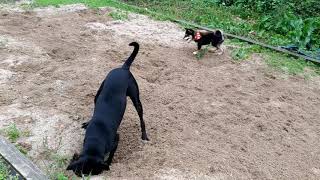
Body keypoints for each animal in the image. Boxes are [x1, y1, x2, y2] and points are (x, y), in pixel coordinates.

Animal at [67, 41, 149, 176]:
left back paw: (144, 136)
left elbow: (111, 155)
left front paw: (109, 164)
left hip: (136, 99)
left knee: (141, 118)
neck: (96, 139)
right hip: (98, 93)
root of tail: (123, 68)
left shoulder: (116, 139)